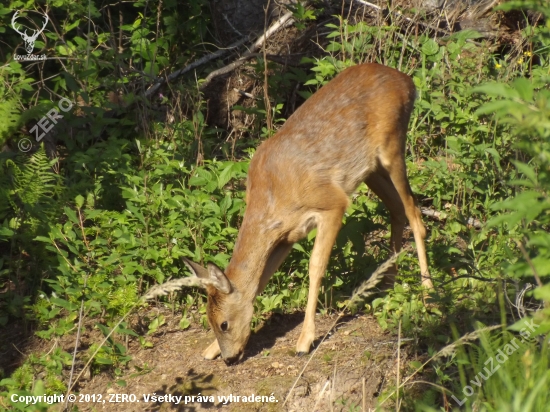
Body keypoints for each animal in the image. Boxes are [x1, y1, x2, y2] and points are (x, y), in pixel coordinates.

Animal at [185, 62, 436, 366]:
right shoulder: (286, 235)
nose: (229, 358)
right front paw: (210, 349)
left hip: (392, 146)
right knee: (397, 209)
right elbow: (262, 279)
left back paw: (429, 291)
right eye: (210, 321)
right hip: (371, 169)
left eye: (224, 323)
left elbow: (315, 267)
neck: (271, 198)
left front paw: (305, 340)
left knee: (414, 212)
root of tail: (407, 81)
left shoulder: (332, 204)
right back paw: (388, 282)